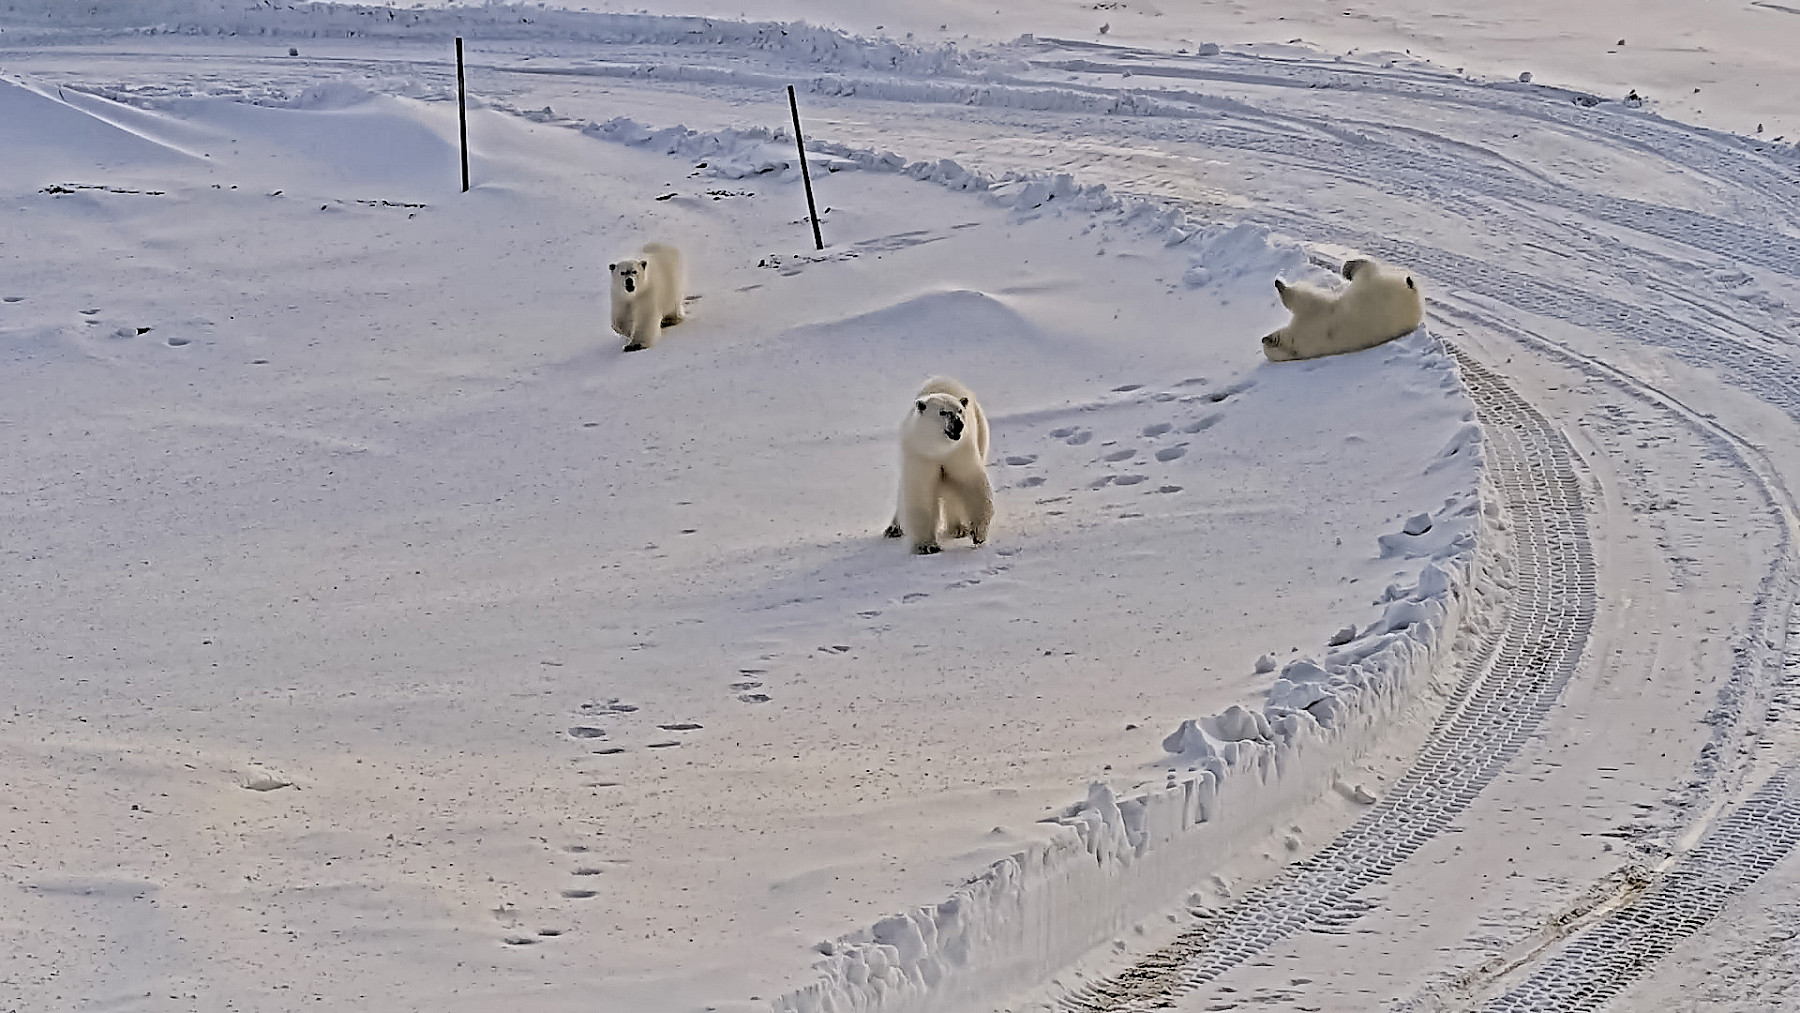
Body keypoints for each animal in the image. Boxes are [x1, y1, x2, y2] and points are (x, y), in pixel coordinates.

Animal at [883, 376, 993, 554]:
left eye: (959, 410)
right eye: (942, 412)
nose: (958, 424)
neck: (938, 450)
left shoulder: (960, 452)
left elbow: (972, 484)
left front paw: (977, 534)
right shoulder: (920, 455)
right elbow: (920, 493)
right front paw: (927, 545)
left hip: (981, 433)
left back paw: (958, 528)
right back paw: (893, 529)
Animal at [1260, 258, 1423, 362]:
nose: (1264, 339)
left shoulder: (1314, 316)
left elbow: (1302, 298)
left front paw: (1279, 284)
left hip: (1379, 291)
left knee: (1367, 272)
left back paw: (1348, 267)